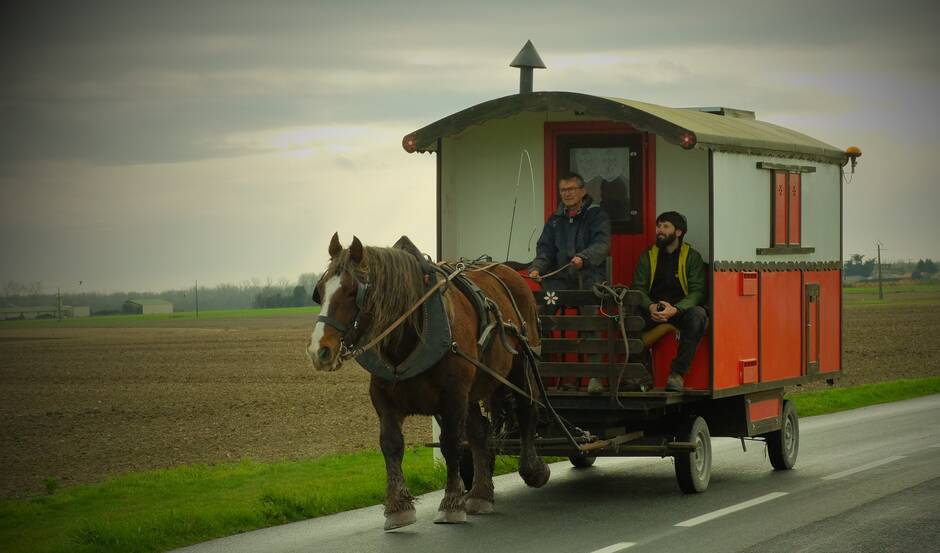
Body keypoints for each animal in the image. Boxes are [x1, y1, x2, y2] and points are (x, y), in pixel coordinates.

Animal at [306, 231, 552, 528]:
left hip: (519, 366)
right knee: (479, 432)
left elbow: (451, 443)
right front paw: (397, 507)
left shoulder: (453, 394)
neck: (409, 331)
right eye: (320, 291)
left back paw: (533, 470)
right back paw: (480, 494)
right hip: (473, 389)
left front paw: (451, 503)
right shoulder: (383, 397)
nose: (319, 351)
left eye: (354, 292)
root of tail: (510, 271)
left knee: (527, 409)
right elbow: (391, 444)